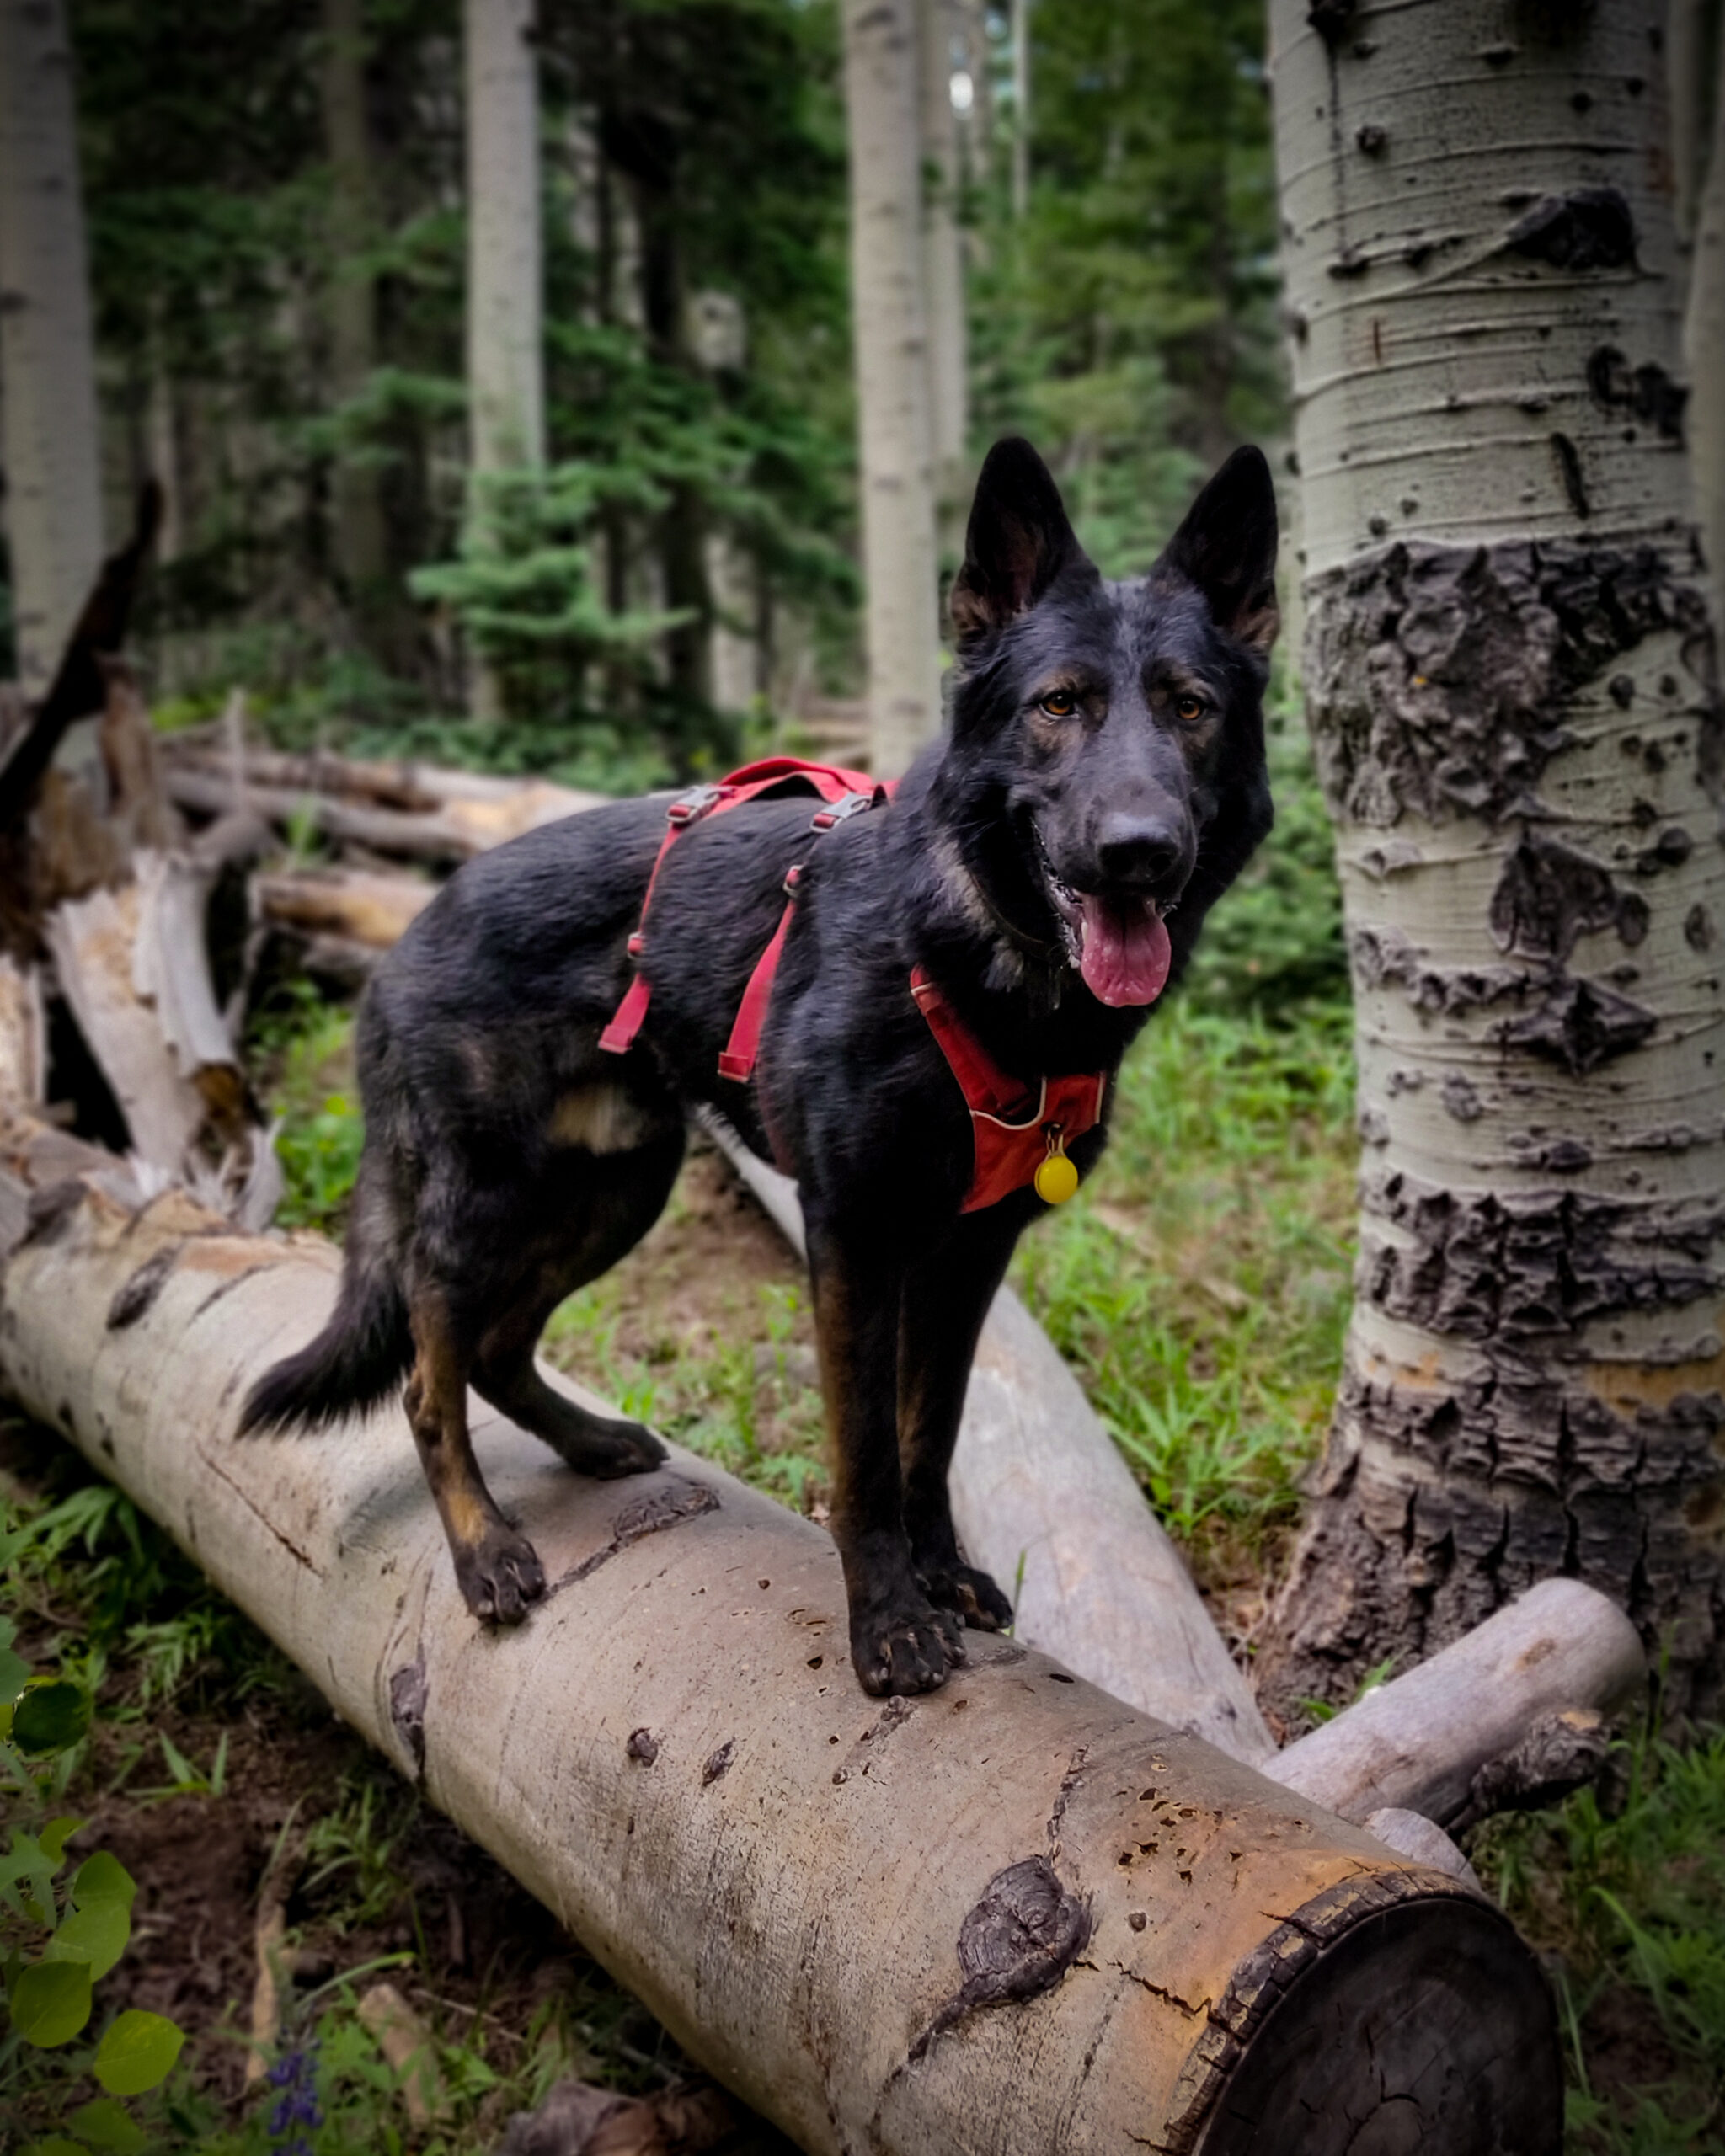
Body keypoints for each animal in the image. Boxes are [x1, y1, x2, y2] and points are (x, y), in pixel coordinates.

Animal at [248, 437, 1276, 1699]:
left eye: (1191, 708)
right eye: (1058, 705)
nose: (1140, 852)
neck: (980, 962)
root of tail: (410, 924)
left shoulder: (965, 1257)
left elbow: (929, 1436)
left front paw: (942, 1575)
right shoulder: (853, 1240)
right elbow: (866, 1454)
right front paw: (887, 1623)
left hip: (616, 1191)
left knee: (496, 1349)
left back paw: (589, 1441)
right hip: (478, 1201)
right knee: (429, 1374)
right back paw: (484, 1545)